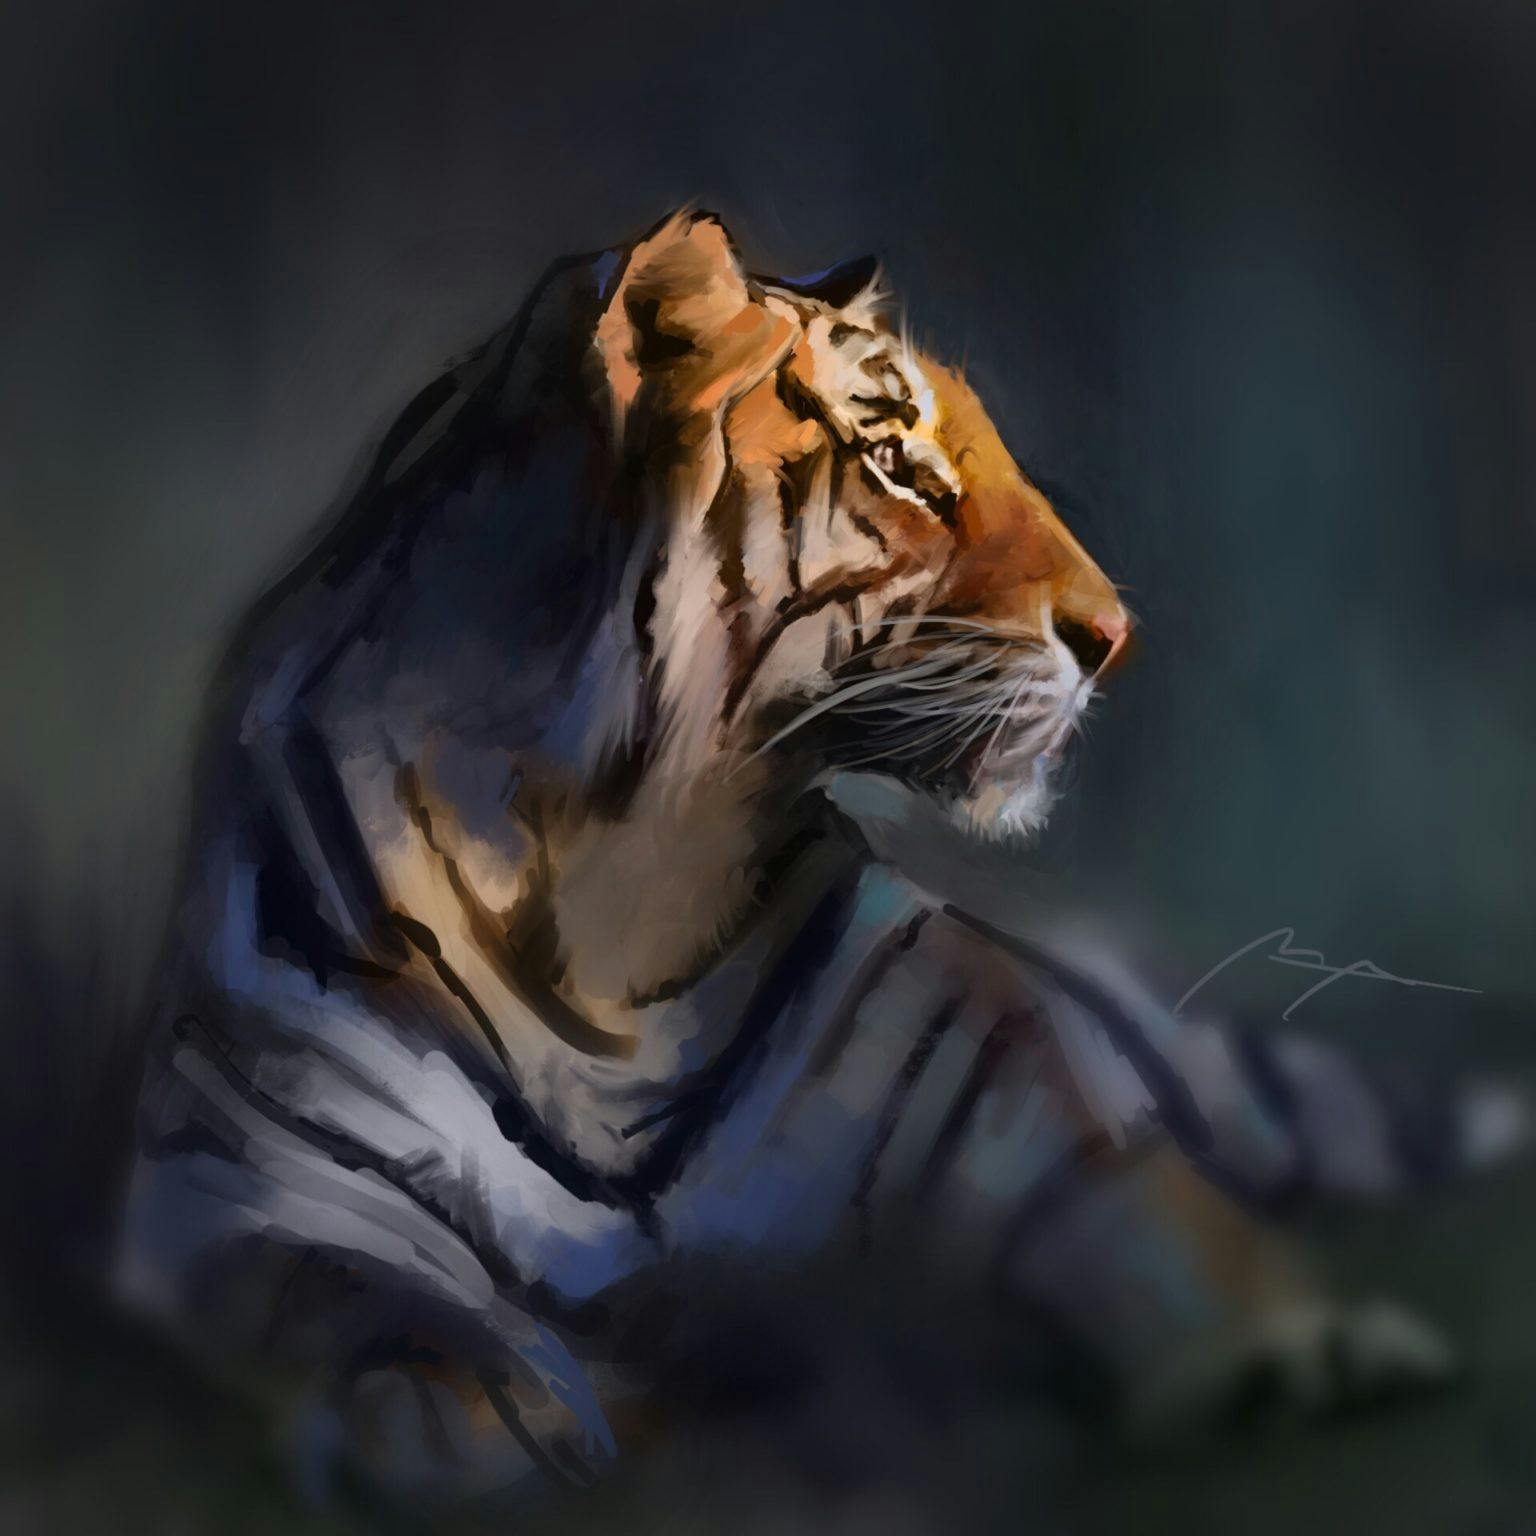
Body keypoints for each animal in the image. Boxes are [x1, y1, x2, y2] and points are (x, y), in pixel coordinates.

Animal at [117, 210, 1515, 1514]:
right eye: (898, 465)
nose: (1116, 634)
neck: (608, 913)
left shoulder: (1005, 1081)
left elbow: (1150, 1196)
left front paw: (1295, 1343)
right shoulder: (227, 1182)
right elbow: (333, 1286)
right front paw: (475, 1411)